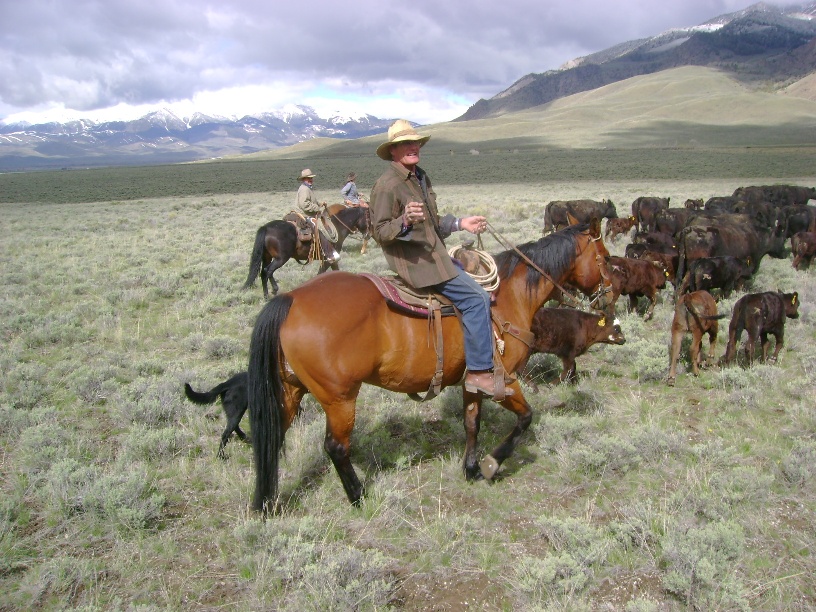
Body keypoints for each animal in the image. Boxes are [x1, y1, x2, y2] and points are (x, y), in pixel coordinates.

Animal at [242, 207, 370, 300]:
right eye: (368, 218)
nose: (368, 235)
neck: (337, 227)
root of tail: (266, 227)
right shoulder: (330, 258)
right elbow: (327, 272)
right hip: (281, 258)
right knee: (267, 271)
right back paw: (272, 291)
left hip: (267, 257)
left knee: (264, 272)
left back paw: (268, 294)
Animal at [249, 220, 612, 512]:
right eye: (606, 258)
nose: (609, 296)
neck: (510, 296)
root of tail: (290, 300)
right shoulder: (504, 379)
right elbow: (525, 418)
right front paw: (492, 464)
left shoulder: (473, 381)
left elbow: (472, 423)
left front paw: (471, 469)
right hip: (339, 398)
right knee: (336, 447)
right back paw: (358, 497)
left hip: (291, 391)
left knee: (270, 438)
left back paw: (265, 503)